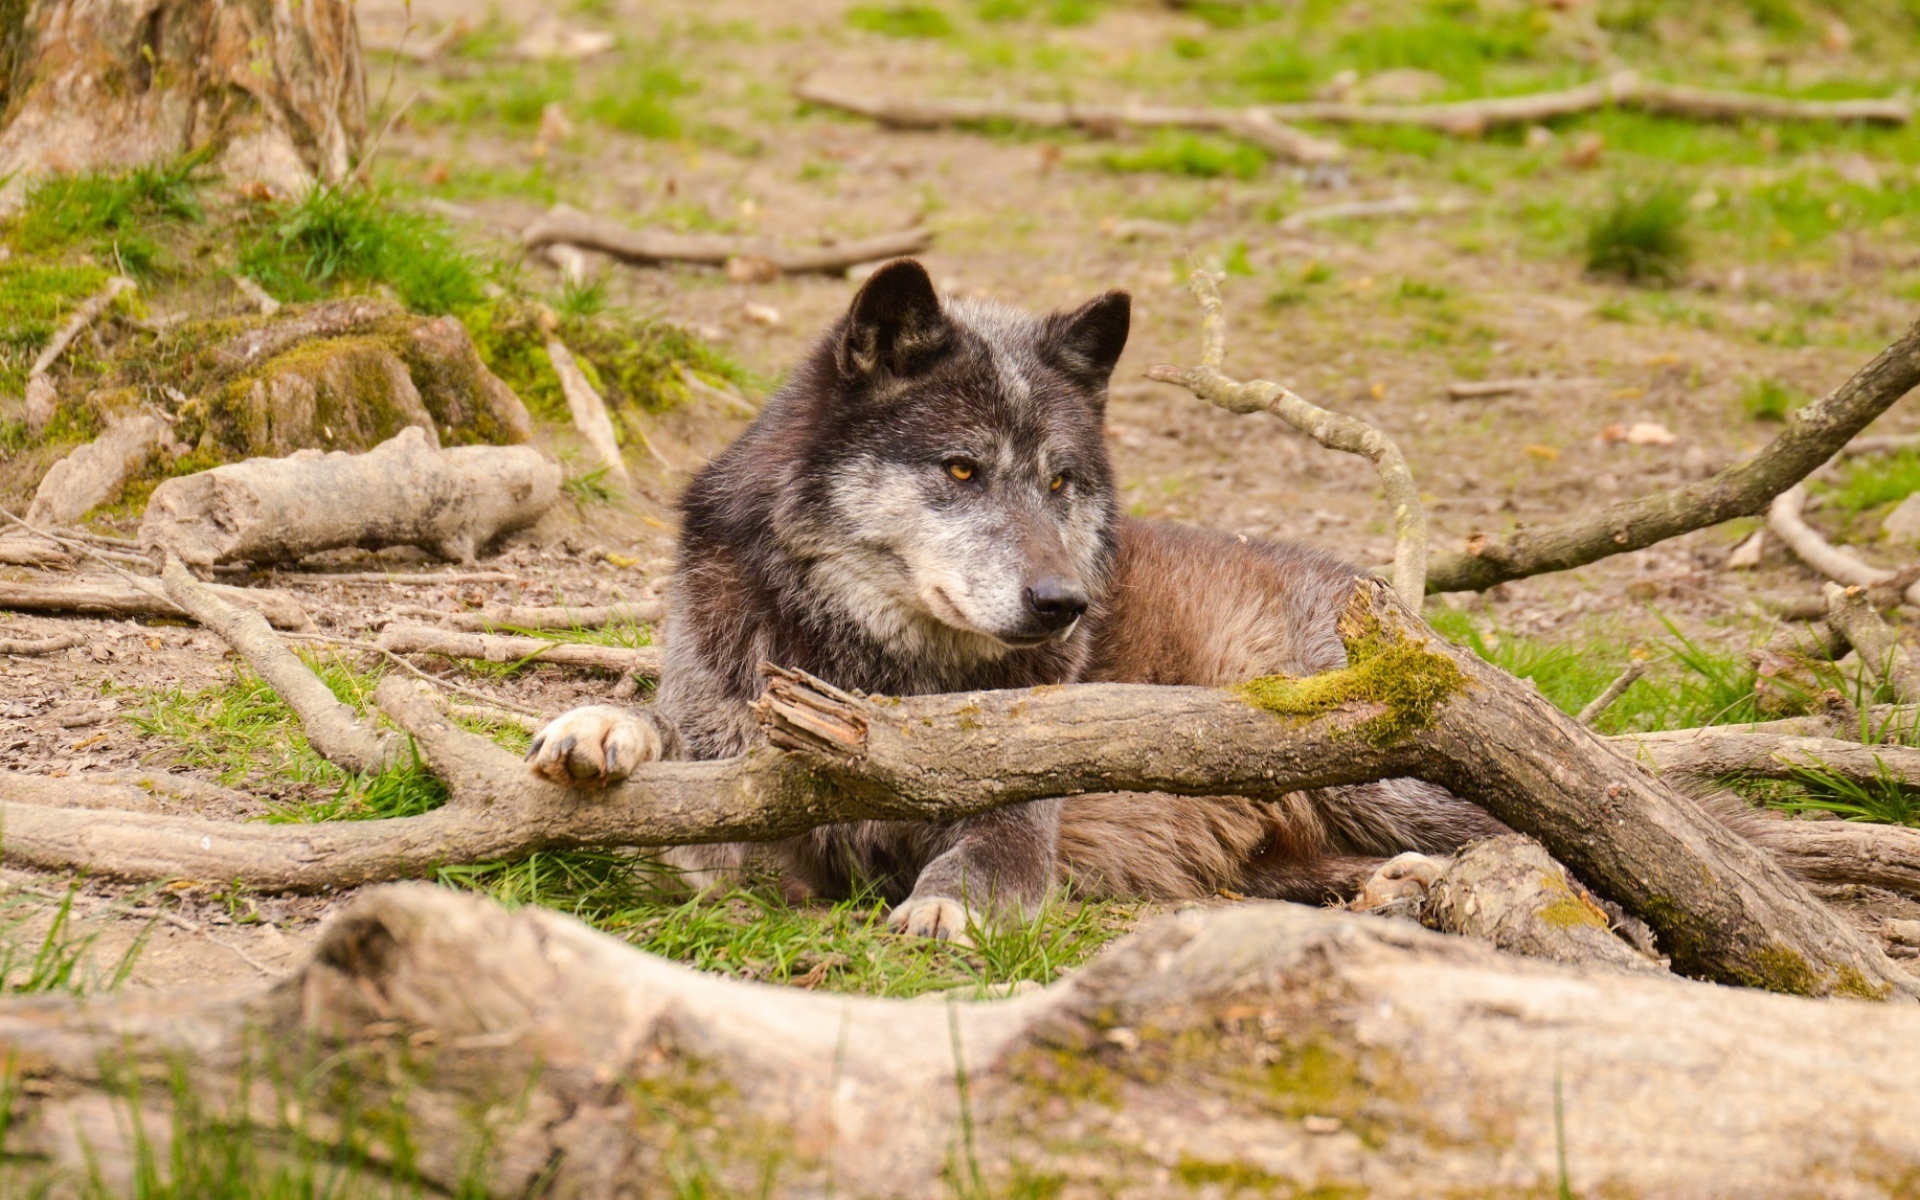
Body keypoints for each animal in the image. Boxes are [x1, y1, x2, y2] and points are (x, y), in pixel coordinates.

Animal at [525, 258, 1505, 941]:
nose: (1064, 602)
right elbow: (669, 741)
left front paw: (945, 909)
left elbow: (986, 857)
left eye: (1061, 480)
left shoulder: (1019, 817)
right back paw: (1394, 886)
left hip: (1382, 770)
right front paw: (601, 727)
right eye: (963, 469)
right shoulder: (742, 791)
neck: (878, 674)